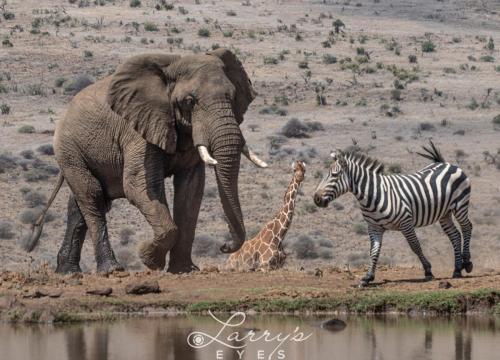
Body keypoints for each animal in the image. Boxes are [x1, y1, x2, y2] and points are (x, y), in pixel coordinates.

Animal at [27, 47, 268, 272]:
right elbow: (139, 185)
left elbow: (191, 190)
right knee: (92, 196)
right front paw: (148, 257)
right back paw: (110, 269)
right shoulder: (137, 130)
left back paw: (68, 272)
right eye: (189, 101)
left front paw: (184, 270)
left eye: (234, 96)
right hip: (69, 150)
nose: (224, 246)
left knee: (80, 205)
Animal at [312, 141, 472, 286]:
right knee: (455, 235)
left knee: (467, 227)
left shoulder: (406, 223)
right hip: (444, 213)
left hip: (460, 205)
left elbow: (415, 246)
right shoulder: (374, 227)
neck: (375, 194)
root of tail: (446, 164)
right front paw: (368, 277)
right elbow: (374, 250)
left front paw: (428, 271)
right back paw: (457, 270)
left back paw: (467, 262)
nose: (316, 199)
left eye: (334, 175)